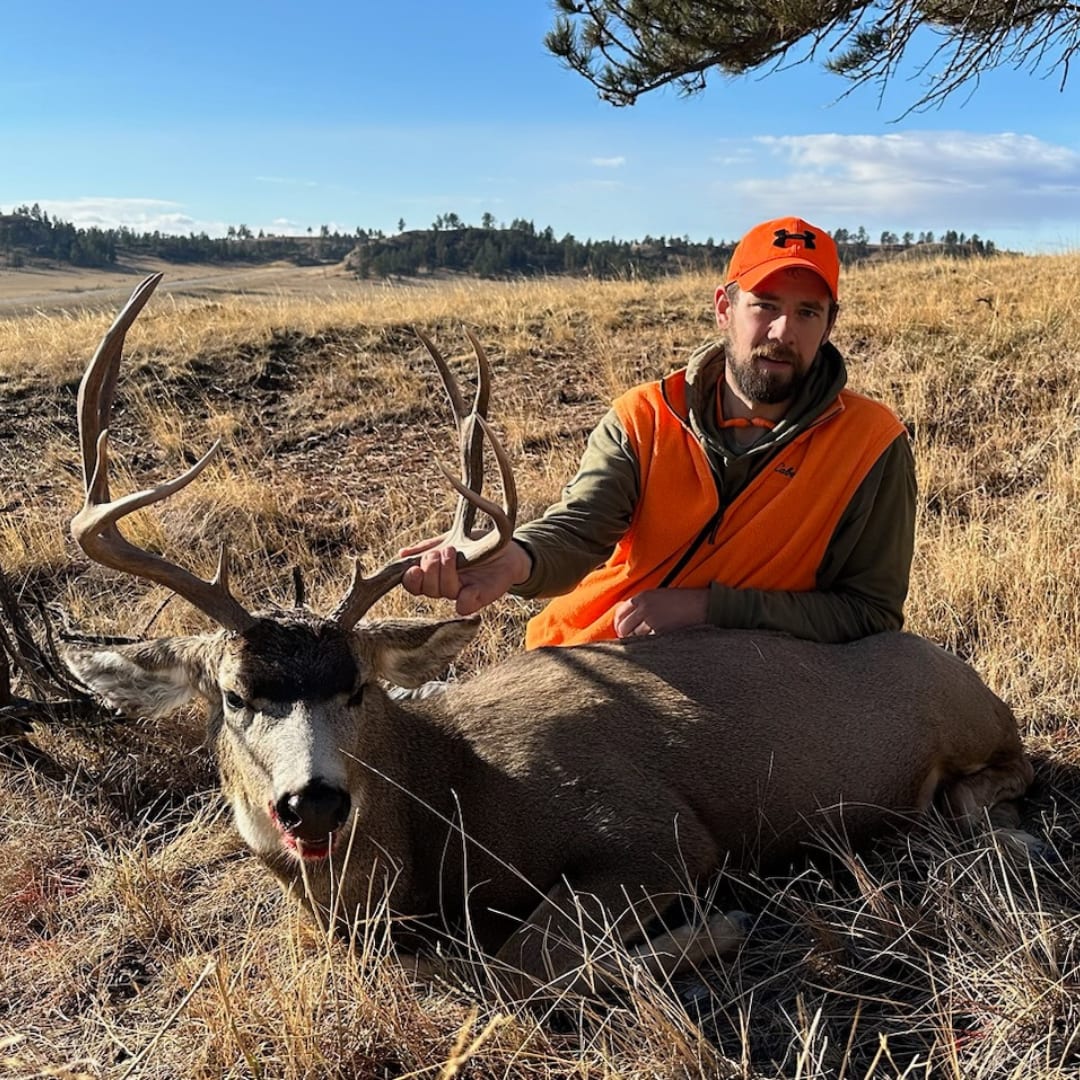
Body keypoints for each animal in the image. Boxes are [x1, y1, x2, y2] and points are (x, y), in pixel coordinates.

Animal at [62, 274, 1034, 1001]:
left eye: (359, 688)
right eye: (232, 697)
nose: (313, 803)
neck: (449, 805)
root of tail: (974, 681)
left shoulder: (656, 833)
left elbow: (516, 962)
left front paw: (713, 930)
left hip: (965, 730)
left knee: (1004, 776)